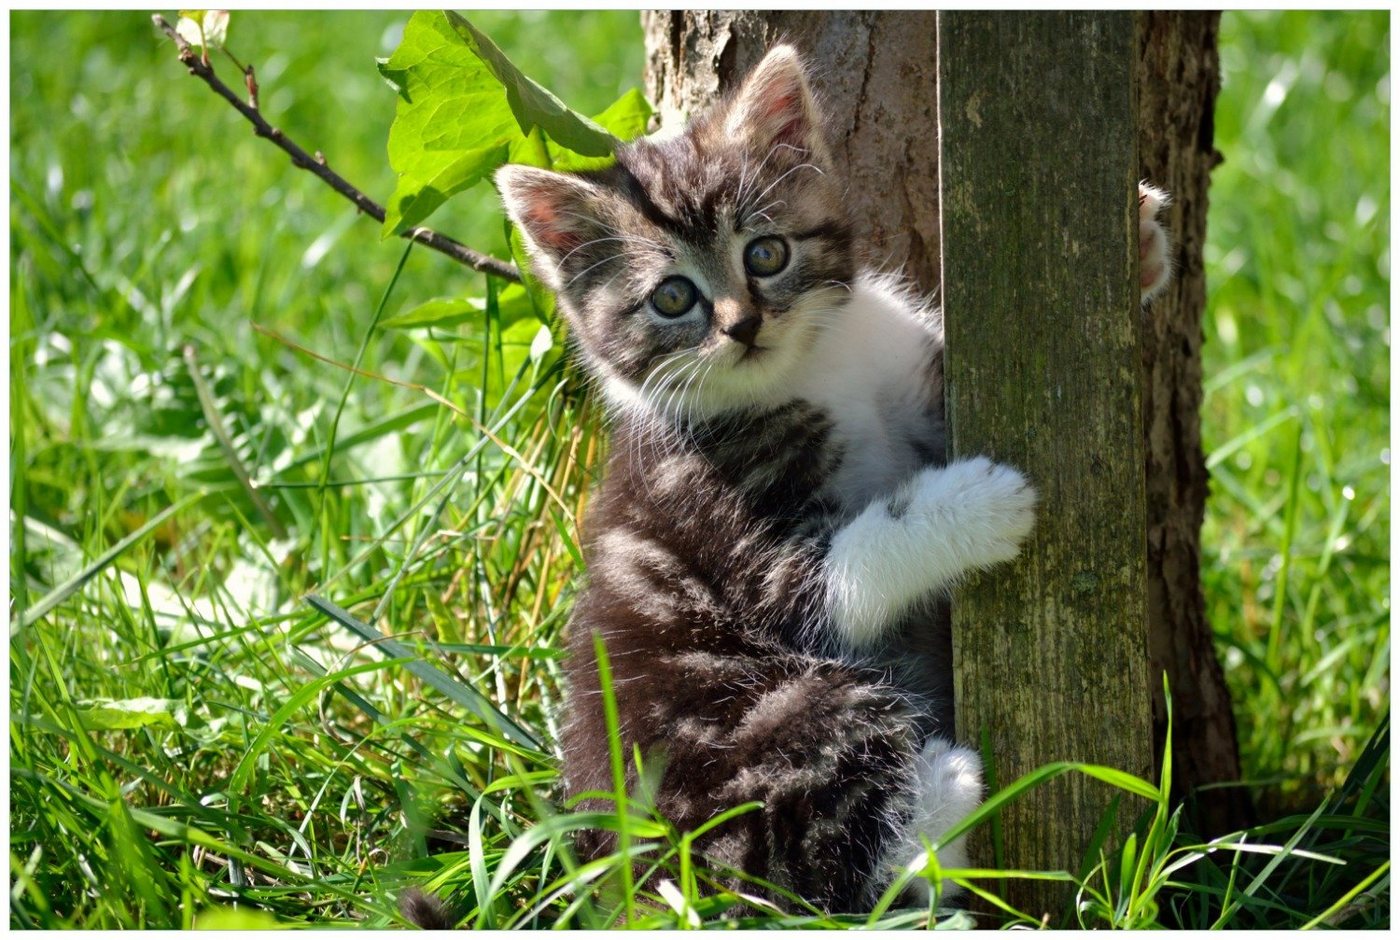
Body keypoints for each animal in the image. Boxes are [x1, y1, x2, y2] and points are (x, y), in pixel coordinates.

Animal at [498, 47, 1176, 913]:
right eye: (673, 298)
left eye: (766, 253)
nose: (743, 326)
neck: (817, 369)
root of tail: (639, 875)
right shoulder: (735, 531)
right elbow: (850, 573)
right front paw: (973, 506)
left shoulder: (912, 383)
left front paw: (1140, 244)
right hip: (763, 711)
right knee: (824, 867)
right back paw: (948, 792)